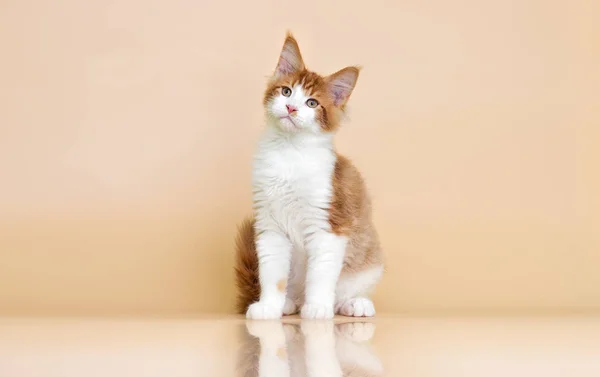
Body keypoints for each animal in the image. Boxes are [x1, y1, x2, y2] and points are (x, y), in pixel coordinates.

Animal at [234, 33, 384, 318]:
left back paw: (353, 304)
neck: (289, 150)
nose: (291, 108)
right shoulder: (270, 227)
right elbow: (272, 274)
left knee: (348, 290)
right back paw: (289, 304)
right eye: (286, 91)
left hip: (368, 261)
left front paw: (316, 308)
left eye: (312, 103)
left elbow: (320, 274)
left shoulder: (329, 225)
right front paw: (269, 306)